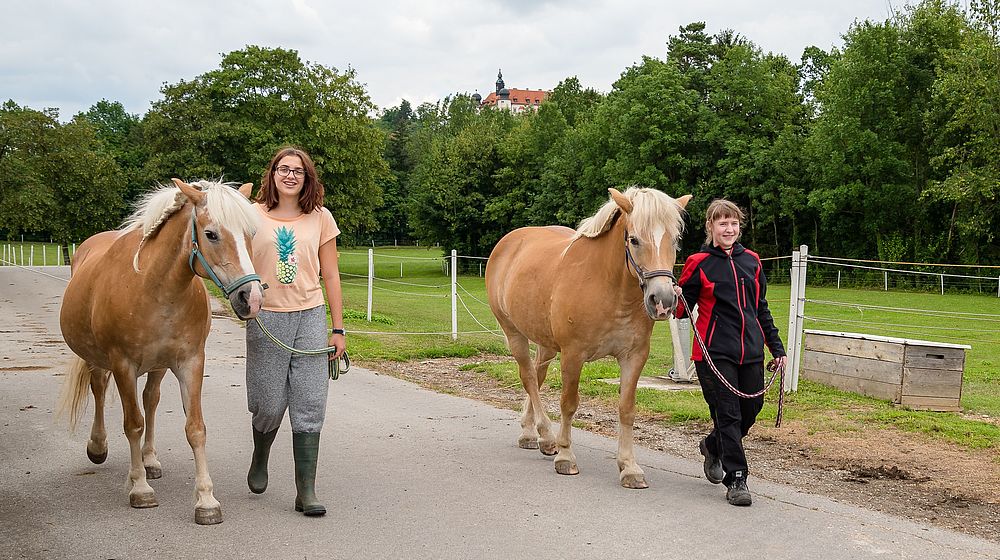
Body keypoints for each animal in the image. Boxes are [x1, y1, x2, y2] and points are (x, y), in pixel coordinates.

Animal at [57, 179, 264, 524]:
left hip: (157, 366)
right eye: (211, 234)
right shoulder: (123, 365)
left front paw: (206, 500)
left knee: (150, 400)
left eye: (251, 233)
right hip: (97, 358)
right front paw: (140, 489)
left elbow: (195, 428)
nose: (252, 298)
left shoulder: (190, 363)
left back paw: (149, 459)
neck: (153, 288)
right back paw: (99, 447)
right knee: (99, 389)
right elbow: (133, 424)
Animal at [484, 186, 688, 488]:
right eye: (634, 240)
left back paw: (532, 434)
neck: (608, 287)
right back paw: (546, 436)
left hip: (545, 343)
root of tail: (508, 242)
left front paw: (629, 467)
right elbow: (569, 404)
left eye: (674, 240)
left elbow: (626, 409)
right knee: (529, 377)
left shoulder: (634, 357)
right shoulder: (573, 355)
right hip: (515, 334)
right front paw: (565, 456)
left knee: (537, 376)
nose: (662, 300)